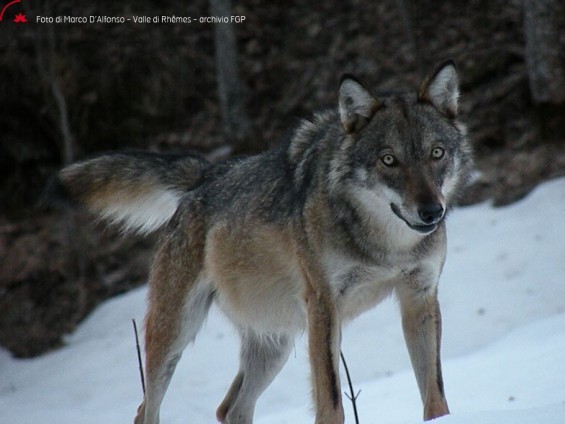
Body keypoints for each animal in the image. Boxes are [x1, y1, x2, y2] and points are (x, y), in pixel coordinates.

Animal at [49, 60, 472, 424]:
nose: (431, 211)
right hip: (175, 335)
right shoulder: (324, 306)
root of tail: (207, 172)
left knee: (229, 408)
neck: (388, 245)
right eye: (388, 160)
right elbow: (331, 401)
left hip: (275, 342)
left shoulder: (419, 297)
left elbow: (435, 393)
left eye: (436, 154)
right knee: (147, 410)